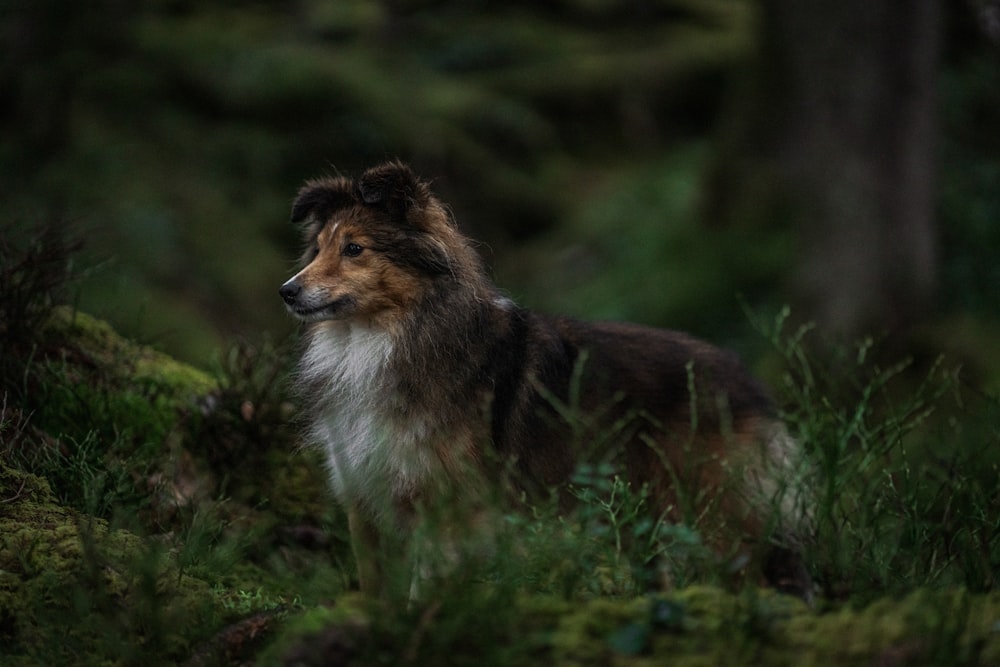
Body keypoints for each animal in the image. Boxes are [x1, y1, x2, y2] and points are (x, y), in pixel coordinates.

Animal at [282, 160, 812, 600]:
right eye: (319, 248)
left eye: (354, 249)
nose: (287, 292)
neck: (381, 338)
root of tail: (746, 379)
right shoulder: (364, 492)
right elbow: (376, 586)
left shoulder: (447, 505)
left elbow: (427, 585)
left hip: (711, 514)